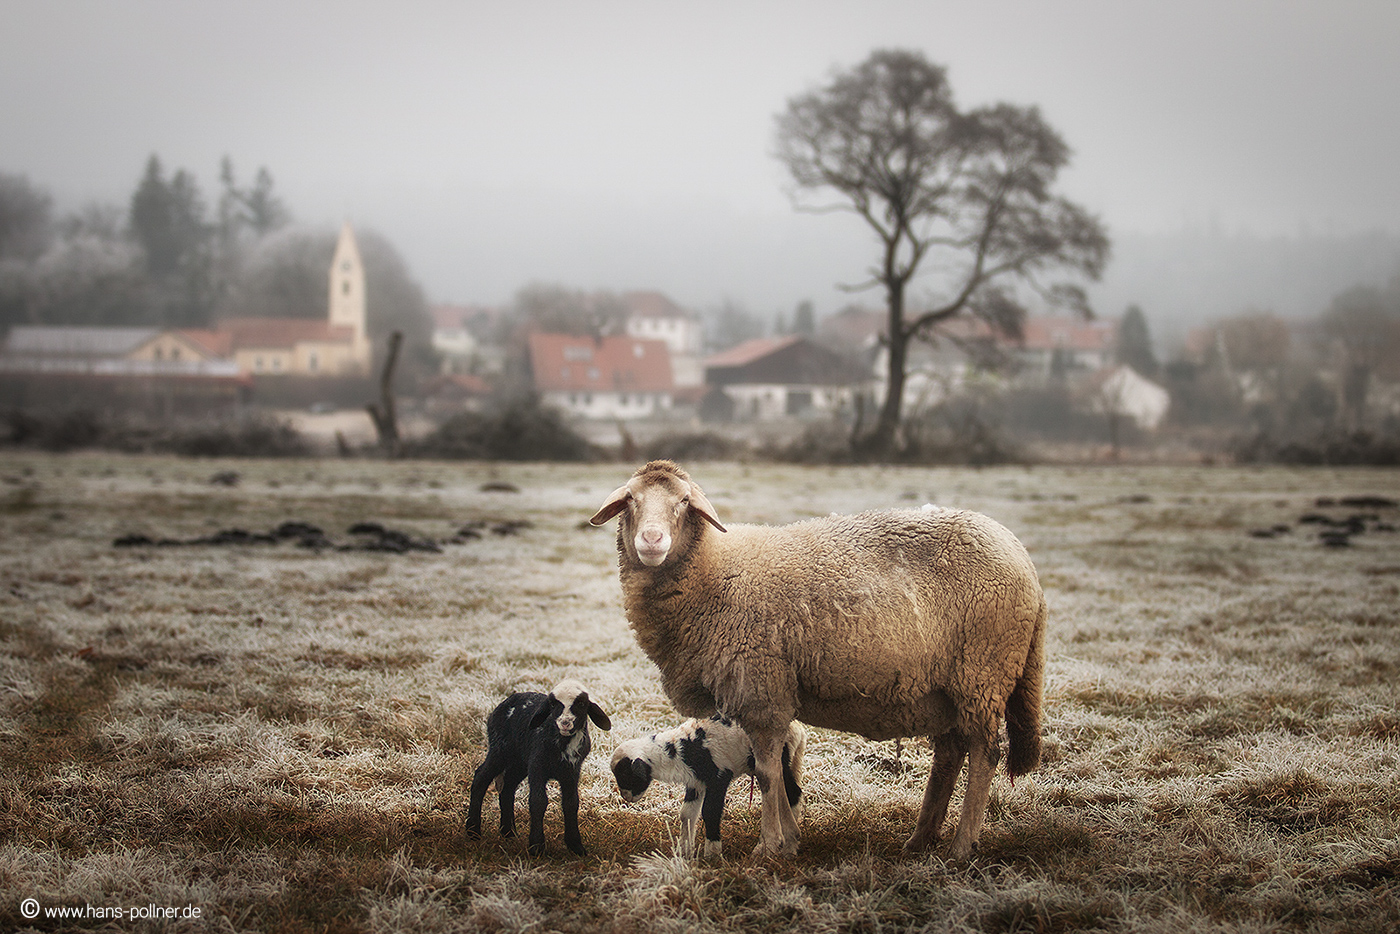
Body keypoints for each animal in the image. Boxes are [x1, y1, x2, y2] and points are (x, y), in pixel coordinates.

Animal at [467, 674, 610, 856]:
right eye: (553, 704)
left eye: (582, 704)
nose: (565, 722)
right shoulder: (537, 766)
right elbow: (538, 801)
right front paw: (536, 846)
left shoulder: (572, 771)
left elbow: (571, 803)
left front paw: (576, 846)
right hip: (500, 750)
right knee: (480, 778)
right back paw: (473, 831)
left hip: (519, 761)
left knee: (508, 787)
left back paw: (509, 832)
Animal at [610, 716, 806, 862]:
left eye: (625, 774)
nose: (626, 797)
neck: (684, 748)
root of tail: (799, 730)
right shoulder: (696, 781)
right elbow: (686, 814)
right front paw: (684, 852)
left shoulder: (719, 775)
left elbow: (710, 811)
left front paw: (712, 853)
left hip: (780, 759)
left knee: (793, 792)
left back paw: (789, 844)